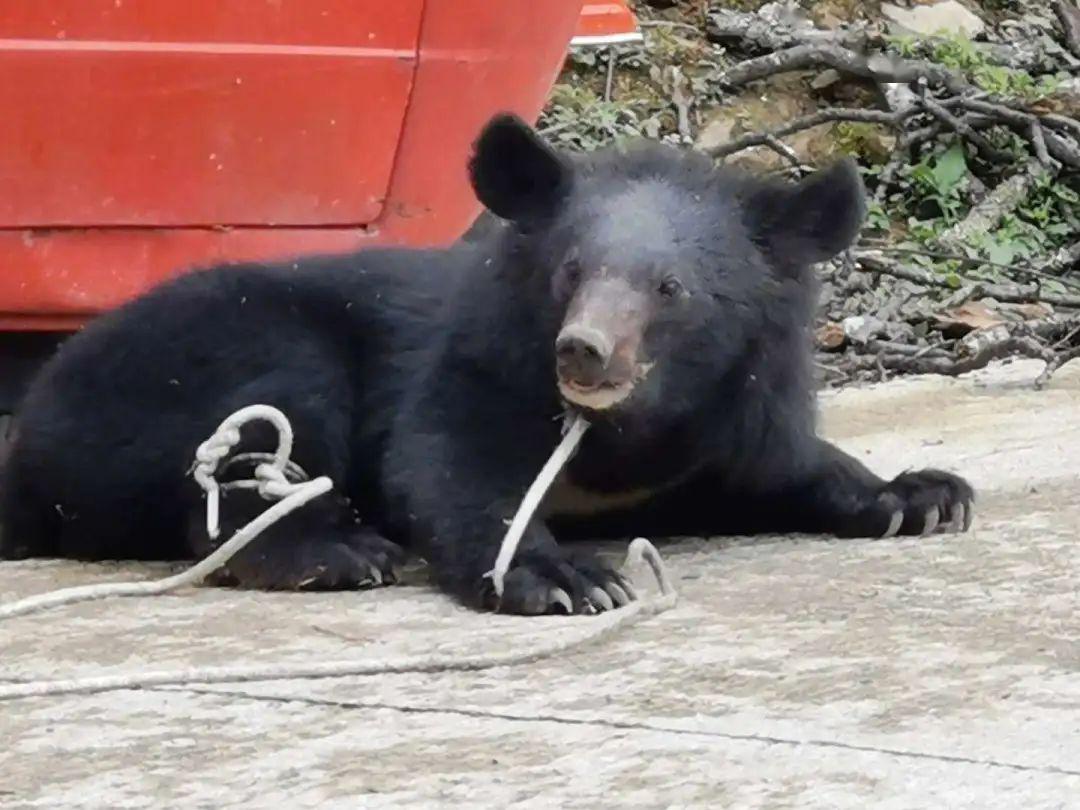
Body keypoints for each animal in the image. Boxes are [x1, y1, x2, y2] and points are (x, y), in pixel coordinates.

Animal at [0, 112, 976, 613]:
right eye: (573, 271)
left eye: (671, 289)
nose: (583, 352)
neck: (626, 431)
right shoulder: (473, 368)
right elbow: (450, 466)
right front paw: (566, 577)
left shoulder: (724, 422)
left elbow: (776, 464)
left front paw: (920, 495)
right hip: (192, 362)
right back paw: (337, 549)